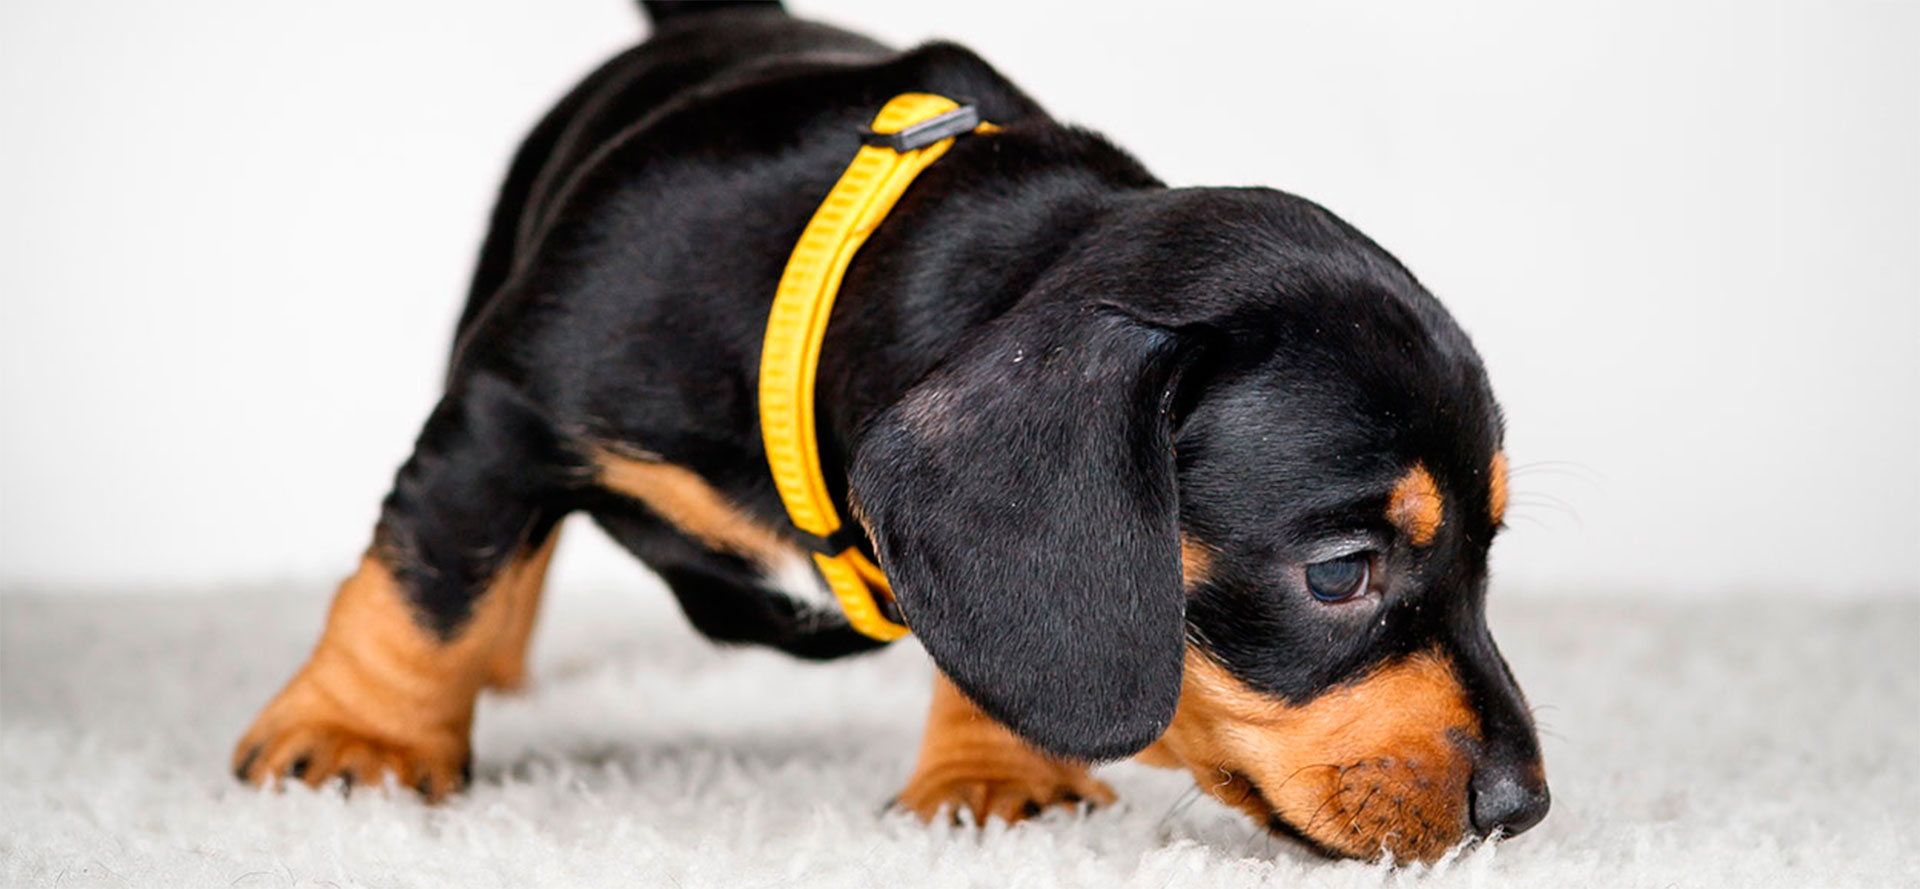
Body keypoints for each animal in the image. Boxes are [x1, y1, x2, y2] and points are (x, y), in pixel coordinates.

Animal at [232, 0, 1551, 864]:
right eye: (1340, 573)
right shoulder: (505, 404)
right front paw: (355, 738)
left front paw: (995, 775)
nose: (1522, 810)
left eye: (1488, 553)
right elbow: (427, 578)